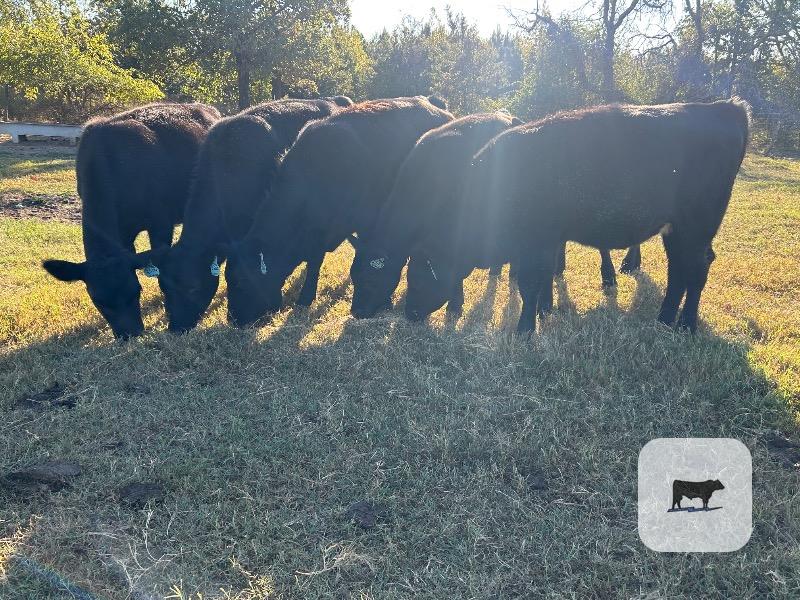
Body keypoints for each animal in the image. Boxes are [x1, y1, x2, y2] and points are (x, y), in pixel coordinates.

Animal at [403, 99, 749, 333]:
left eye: (417, 275)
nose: (408, 313)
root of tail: (726, 109)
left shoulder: (537, 241)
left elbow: (531, 284)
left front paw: (524, 330)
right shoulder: (543, 243)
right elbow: (540, 283)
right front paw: (542, 315)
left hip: (696, 228)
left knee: (696, 270)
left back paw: (686, 325)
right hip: (676, 231)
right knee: (679, 272)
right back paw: (664, 320)